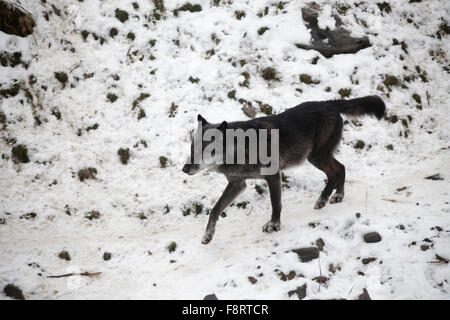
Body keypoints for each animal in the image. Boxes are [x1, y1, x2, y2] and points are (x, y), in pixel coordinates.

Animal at [181, 94, 384, 242]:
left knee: (337, 171)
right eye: (192, 148)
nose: (184, 169)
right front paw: (208, 235)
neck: (242, 146)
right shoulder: (237, 184)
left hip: (316, 157)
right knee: (340, 168)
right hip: (317, 157)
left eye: (205, 149)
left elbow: (275, 203)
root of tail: (328, 104)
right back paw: (332, 197)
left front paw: (274, 225)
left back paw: (329, 197)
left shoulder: (272, 175)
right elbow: (215, 209)